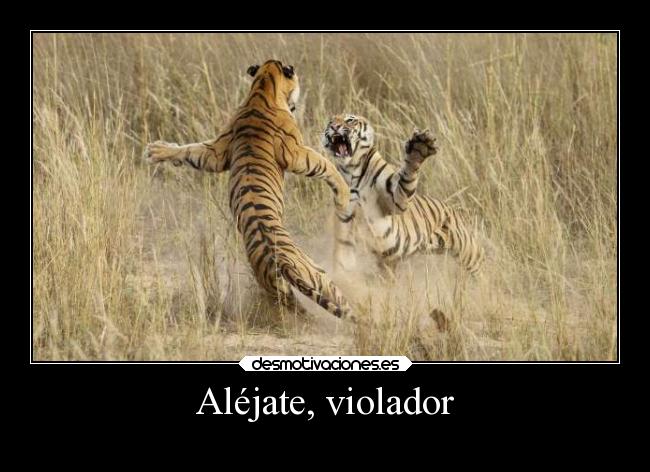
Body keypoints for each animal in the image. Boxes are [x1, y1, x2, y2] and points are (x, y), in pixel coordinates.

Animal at [144, 60, 354, 320]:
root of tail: (282, 263)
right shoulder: (296, 153)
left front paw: (156, 151)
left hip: (283, 290)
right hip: (319, 275)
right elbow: (325, 165)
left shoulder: (217, 152)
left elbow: (191, 150)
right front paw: (344, 195)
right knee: (342, 304)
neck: (262, 88)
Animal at [322, 114, 484, 276]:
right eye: (330, 122)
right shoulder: (345, 218)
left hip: (469, 252)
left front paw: (420, 146)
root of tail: (455, 211)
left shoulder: (396, 198)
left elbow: (408, 174)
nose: (334, 127)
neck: (352, 170)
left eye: (350, 120)